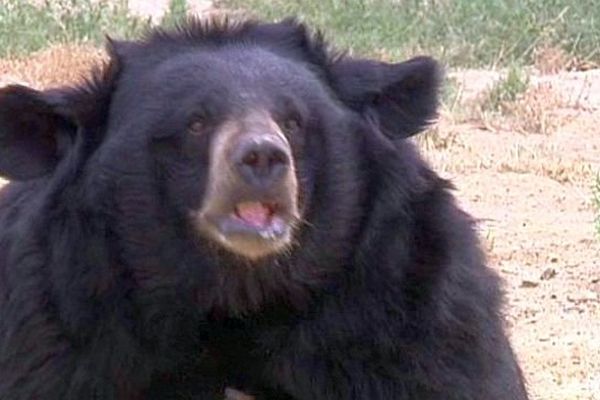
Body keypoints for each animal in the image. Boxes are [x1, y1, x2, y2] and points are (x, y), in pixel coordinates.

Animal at [0, 17, 524, 398]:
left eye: (293, 121)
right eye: (196, 123)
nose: (262, 157)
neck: (240, 294)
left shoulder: (413, 323)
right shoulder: (66, 327)